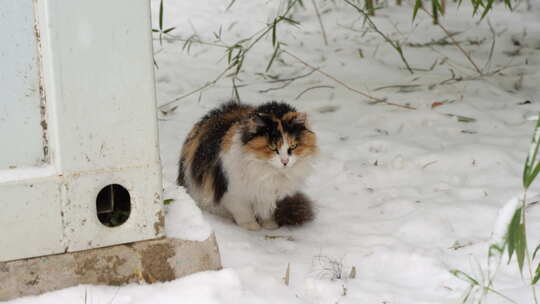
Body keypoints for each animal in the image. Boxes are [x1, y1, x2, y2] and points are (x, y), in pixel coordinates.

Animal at [177, 100, 316, 230]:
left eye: (293, 146)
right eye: (272, 147)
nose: (285, 161)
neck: (268, 172)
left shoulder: (268, 194)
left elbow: (267, 212)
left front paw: (270, 225)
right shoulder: (233, 193)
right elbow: (244, 212)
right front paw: (251, 226)